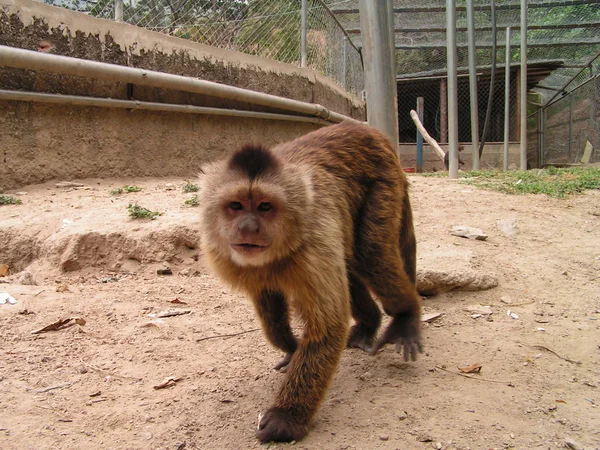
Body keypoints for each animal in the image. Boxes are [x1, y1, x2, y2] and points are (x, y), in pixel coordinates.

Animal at [198, 121, 422, 444]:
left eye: (265, 207)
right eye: (236, 206)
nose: (248, 227)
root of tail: (371, 131)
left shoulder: (315, 239)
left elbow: (327, 327)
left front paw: (287, 418)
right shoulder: (236, 260)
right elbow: (269, 303)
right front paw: (290, 346)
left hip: (383, 182)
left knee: (371, 254)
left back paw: (405, 316)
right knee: (352, 262)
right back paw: (369, 324)